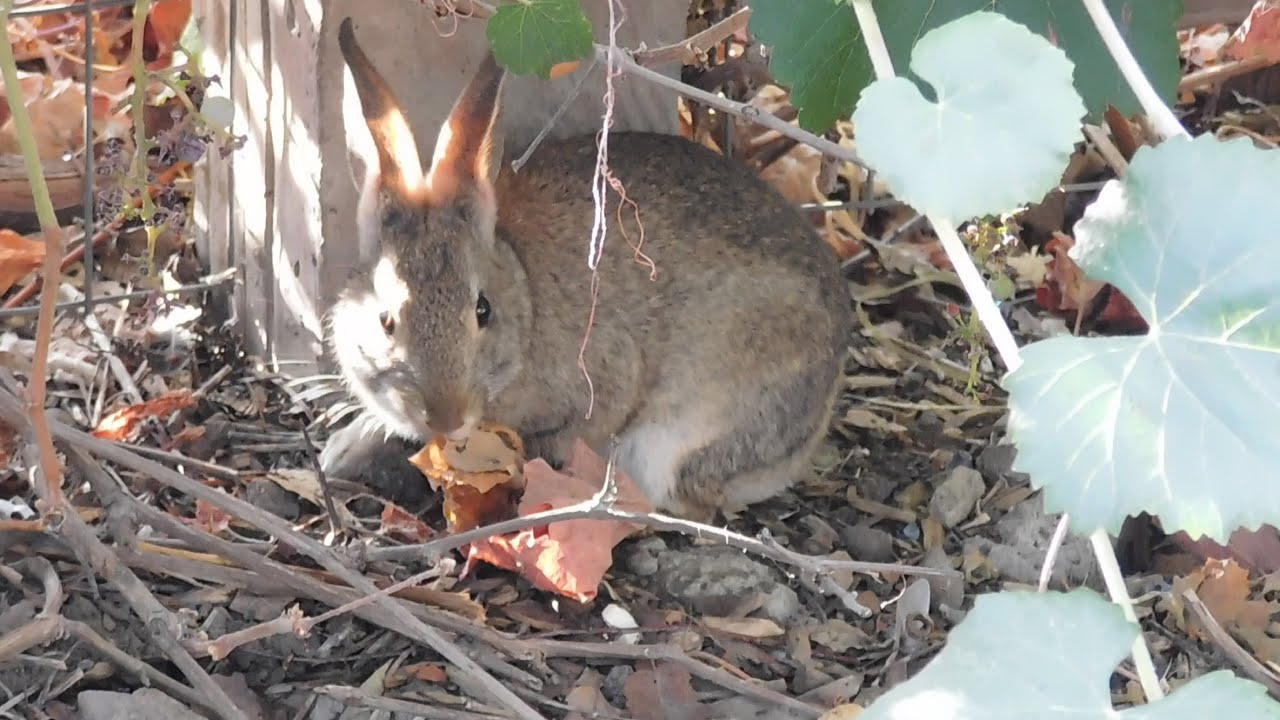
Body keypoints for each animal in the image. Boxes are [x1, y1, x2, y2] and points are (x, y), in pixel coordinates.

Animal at [321, 17, 851, 521]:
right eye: (385, 321)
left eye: (482, 310)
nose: (446, 418)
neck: (526, 295)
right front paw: (342, 449)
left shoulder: (603, 378)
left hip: (682, 437)